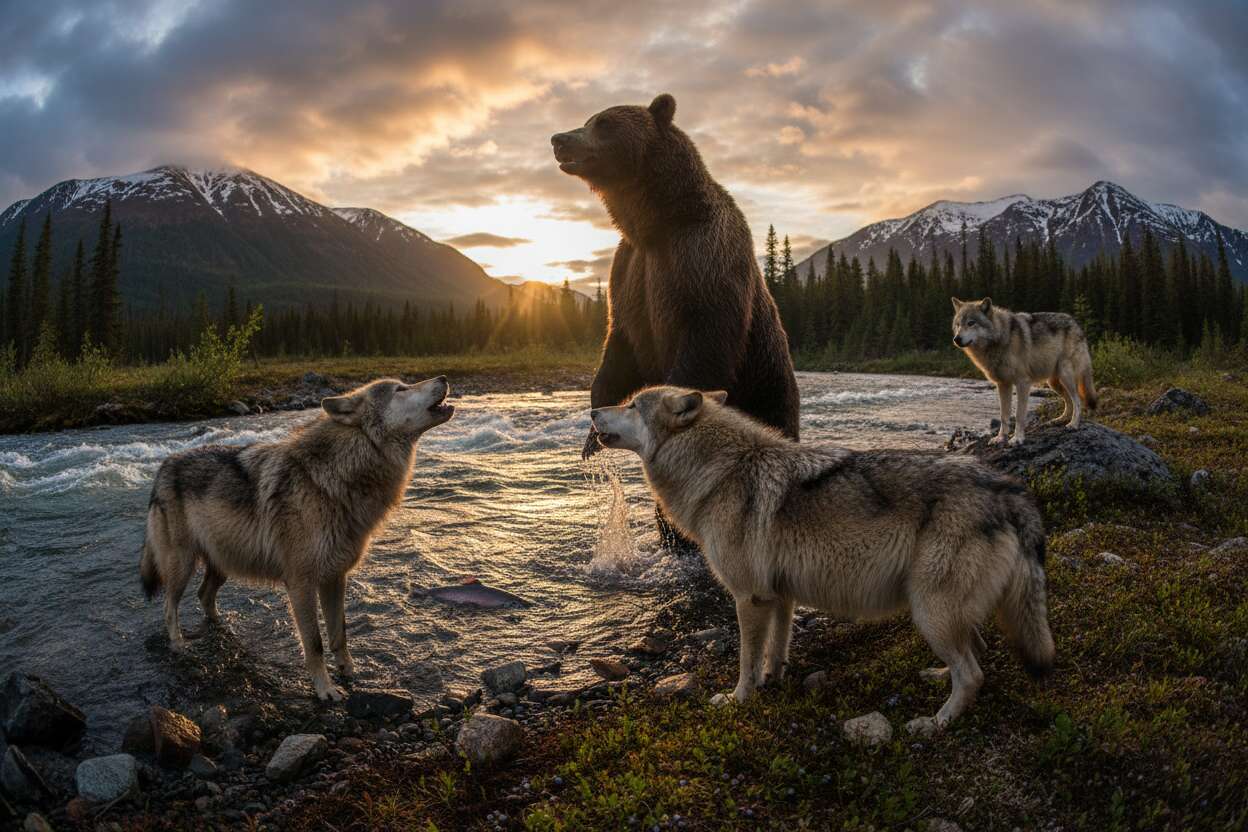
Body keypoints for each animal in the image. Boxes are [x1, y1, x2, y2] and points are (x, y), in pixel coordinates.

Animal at [139, 376, 454, 701]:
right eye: (400, 390)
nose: (443, 378)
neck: (332, 479)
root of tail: (164, 466)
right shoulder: (300, 584)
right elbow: (314, 643)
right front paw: (325, 690)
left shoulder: (335, 577)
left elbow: (339, 633)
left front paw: (349, 672)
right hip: (183, 566)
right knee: (168, 607)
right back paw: (179, 645)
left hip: (222, 563)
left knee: (204, 595)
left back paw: (220, 627)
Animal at [551, 93, 800, 462]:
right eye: (588, 120)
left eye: (604, 123)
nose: (559, 139)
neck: (655, 223)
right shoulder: (629, 268)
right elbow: (618, 341)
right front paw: (592, 438)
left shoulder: (701, 254)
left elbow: (704, 338)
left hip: (768, 384)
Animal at [590, 386, 1054, 730]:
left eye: (631, 405)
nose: (592, 410)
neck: (725, 471)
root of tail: (1009, 489)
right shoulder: (779, 597)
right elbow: (775, 650)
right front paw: (772, 682)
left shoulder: (749, 599)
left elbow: (745, 660)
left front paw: (739, 699)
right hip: (939, 614)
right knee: (974, 653)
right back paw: (938, 677)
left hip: (929, 610)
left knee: (973, 673)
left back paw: (936, 722)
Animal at [952, 297, 1097, 445]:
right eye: (958, 325)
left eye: (971, 323)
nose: (956, 339)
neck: (1001, 338)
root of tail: (1075, 323)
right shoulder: (1003, 384)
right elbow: (1004, 415)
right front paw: (1001, 437)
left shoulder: (1023, 383)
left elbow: (1019, 415)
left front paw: (1017, 438)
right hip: (1053, 383)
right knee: (1068, 401)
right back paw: (1059, 420)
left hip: (1065, 376)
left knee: (1077, 400)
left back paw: (1073, 424)